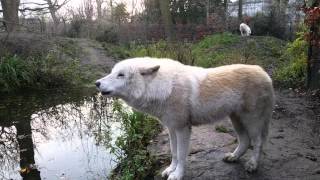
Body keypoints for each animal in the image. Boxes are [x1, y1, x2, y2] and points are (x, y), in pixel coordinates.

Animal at [95, 57, 276, 180]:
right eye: (112, 72)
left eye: (120, 75)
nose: (96, 83)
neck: (164, 87)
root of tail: (265, 73)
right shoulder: (171, 128)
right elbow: (174, 153)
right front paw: (170, 170)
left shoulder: (183, 129)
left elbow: (182, 155)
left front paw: (177, 175)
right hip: (236, 119)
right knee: (244, 140)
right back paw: (233, 157)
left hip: (252, 121)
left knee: (258, 142)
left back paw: (253, 165)